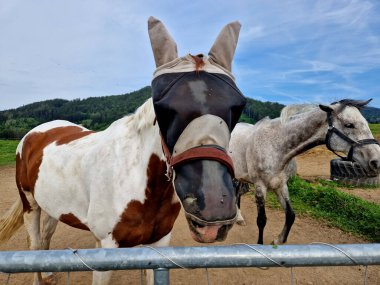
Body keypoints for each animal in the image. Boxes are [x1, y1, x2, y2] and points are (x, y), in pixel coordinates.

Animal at [0, 17, 246, 284]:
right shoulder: (106, 250)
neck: (139, 182)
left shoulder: (158, 245)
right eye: (161, 106)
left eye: (238, 105)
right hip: (30, 205)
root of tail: (34, 134)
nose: (214, 209)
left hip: (53, 205)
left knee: (45, 239)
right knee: (34, 245)